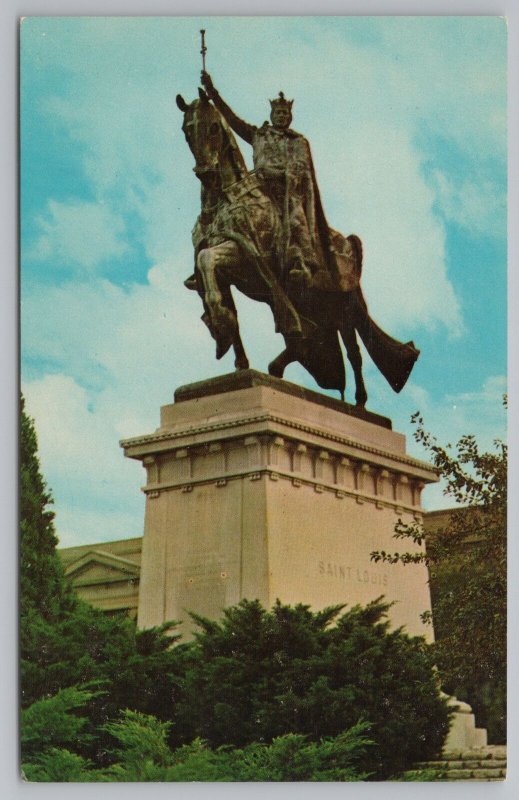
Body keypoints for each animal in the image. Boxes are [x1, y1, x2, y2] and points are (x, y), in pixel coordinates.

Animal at [177, 89, 420, 406]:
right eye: (187, 131)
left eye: (214, 128)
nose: (206, 172)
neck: (223, 202)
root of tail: (348, 242)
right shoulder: (225, 275)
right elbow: (218, 292)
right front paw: (232, 347)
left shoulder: (242, 256)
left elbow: (208, 260)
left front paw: (221, 322)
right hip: (318, 307)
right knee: (309, 336)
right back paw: (278, 367)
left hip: (345, 309)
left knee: (352, 352)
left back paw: (359, 401)